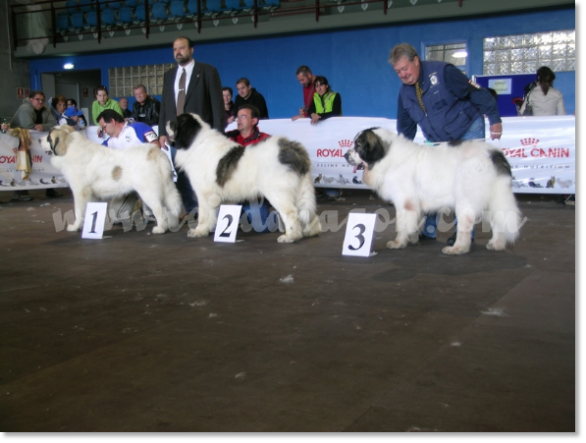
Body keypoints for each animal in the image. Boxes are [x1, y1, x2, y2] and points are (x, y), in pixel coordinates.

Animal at [42, 125, 180, 236]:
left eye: (48, 137)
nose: (38, 139)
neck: (69, 147)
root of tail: (154, 151)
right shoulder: (91, 195)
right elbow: (90, 210)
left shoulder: (80, 192)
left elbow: (78, 211)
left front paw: (75, 227)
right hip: (165, 187)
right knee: (168, 207)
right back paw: (172, 224)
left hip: (148, 192)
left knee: (159, 209)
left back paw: (161, 228)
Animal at [342, 126, 520, 255]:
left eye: (358, 146)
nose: (344, 155)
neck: (386, 157)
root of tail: (494, 154)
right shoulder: (414, 205)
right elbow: (414, 221)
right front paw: (412, 238)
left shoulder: (404, 202)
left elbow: (401, 224)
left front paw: (398, 243)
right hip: (491, 198)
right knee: (498, 221)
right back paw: (496, 244)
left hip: (466, 199)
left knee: (465, 225)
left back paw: (457, 248)